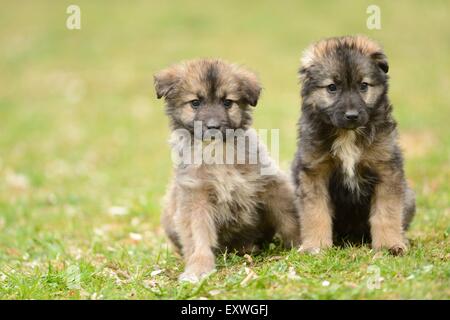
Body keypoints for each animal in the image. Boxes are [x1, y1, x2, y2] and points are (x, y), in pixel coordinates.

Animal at [154, 58, 298, 282]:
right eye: (195, 102)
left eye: (227, 102)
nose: (213, 126)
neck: (217, 152)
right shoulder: (195, 197)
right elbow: (199, 237)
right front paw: (198, 268)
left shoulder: (270, 184)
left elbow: (289, 218)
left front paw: (304, 243)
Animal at [292, 35, 414, 255]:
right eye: (332, 87)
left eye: (363, 85)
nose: (352, 116)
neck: (347, 135)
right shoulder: (314, 172)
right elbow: (316, 213)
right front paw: (315, 246)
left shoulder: (386, 169)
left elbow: (387, 213)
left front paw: (389, 245)